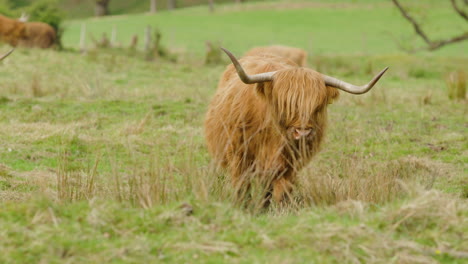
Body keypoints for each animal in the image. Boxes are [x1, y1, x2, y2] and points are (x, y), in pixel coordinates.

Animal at [205, 48, 388, 205]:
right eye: (285, 104)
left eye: (317, 106)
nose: (303, 132)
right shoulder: (239, 156)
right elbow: (242, 187)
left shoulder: (289, 165)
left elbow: (279, 192)